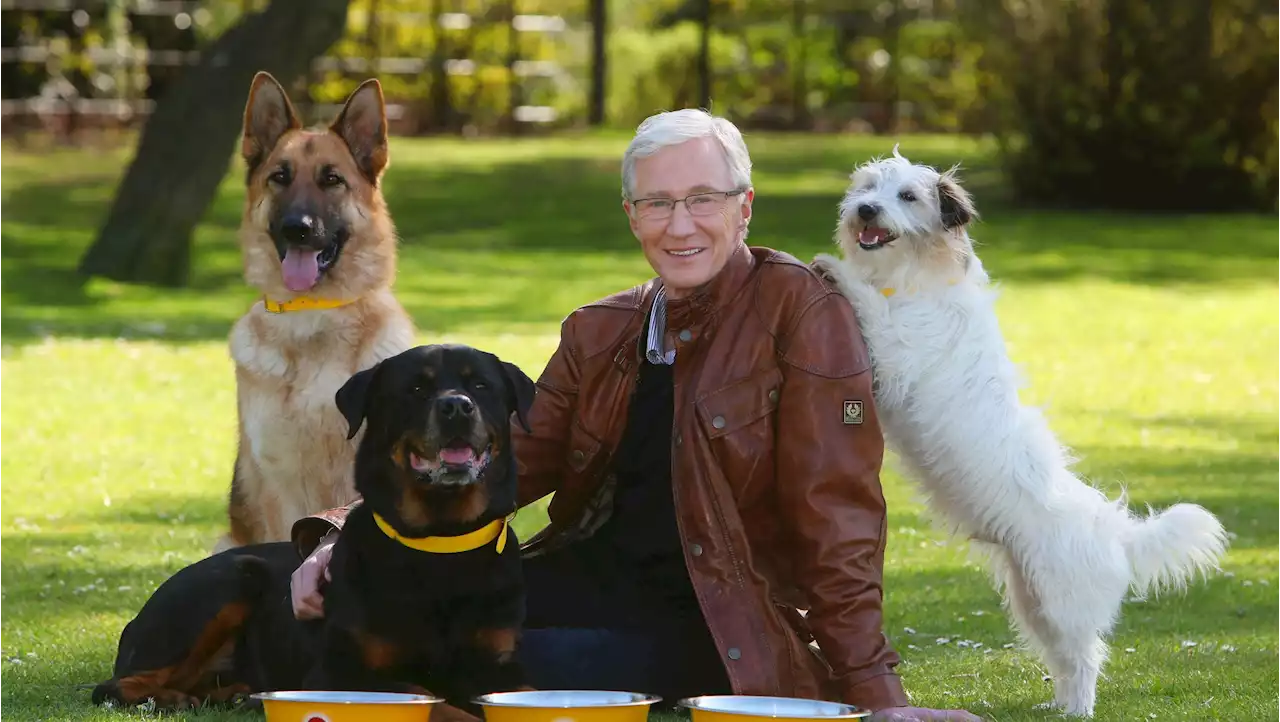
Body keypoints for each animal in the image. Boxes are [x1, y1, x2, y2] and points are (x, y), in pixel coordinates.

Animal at [91, 343, 535, 716]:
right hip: (226, 582)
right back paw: (172, 698)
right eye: (416, 388)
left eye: (480, 385)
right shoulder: (340, 675)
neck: (442, 541)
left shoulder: (499, 668)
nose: (457, 406)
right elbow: (432, 699)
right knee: (113, 687)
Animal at [814, 151, 1223, 716]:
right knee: (1063, 659)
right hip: (1032, 601)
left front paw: (834, 268)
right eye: (869, 187)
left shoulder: (894, 357)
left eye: (908, 196)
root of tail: (1115, 530)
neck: (914, 277)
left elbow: (868, 303)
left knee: (1086, 657)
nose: (866, 210)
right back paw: (1059, 706)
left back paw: (1079, 710)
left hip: (1062, 605)